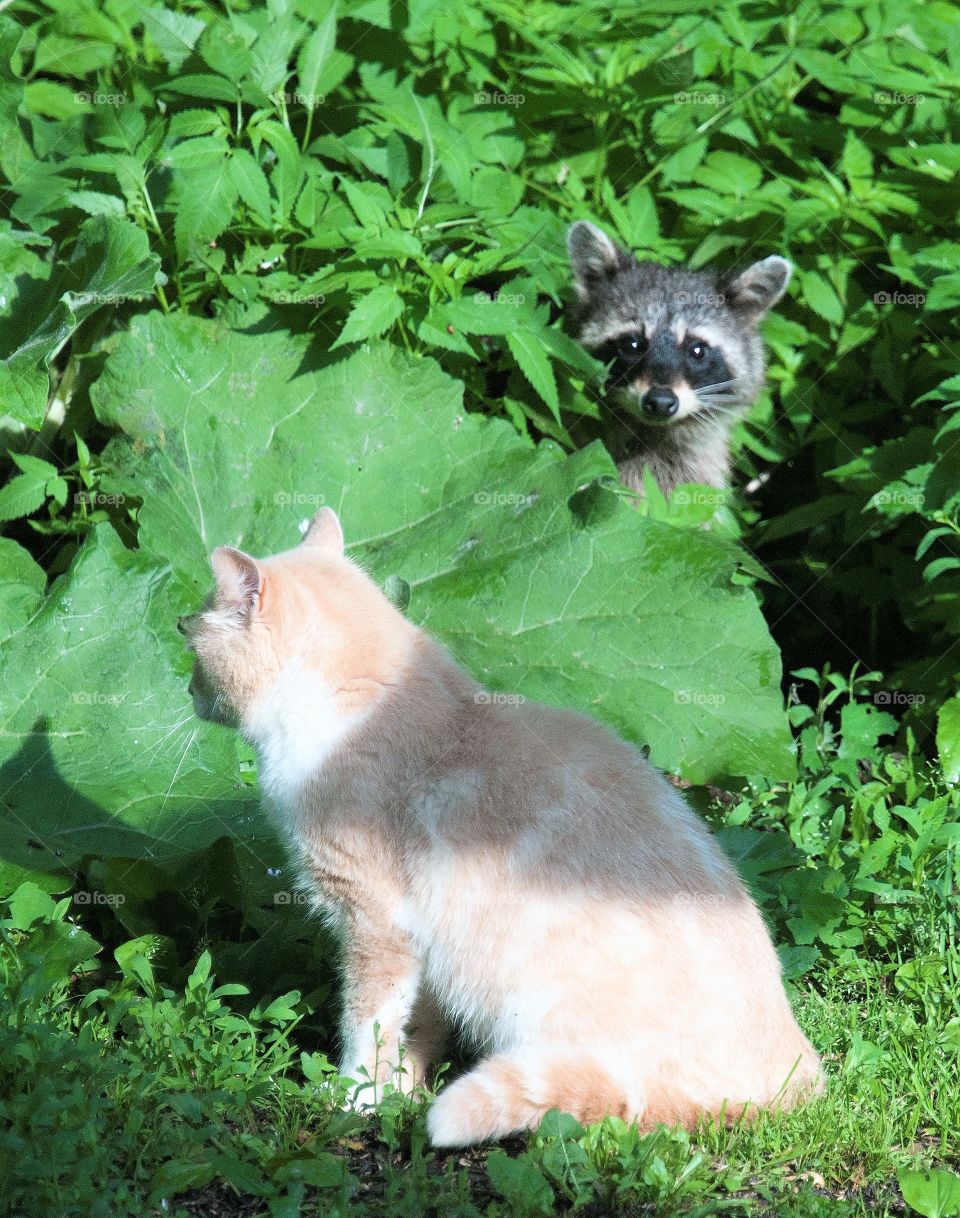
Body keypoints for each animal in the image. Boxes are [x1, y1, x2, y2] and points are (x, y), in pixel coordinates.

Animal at [181, 506, 823, 1149]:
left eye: (188, 638)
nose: (186, 690)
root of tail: (800, 1080)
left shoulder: (377, 922)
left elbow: (367, 1025)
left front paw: (355, 1099)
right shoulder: (425, 938)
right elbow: (416, 1025)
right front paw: (403, 1089)